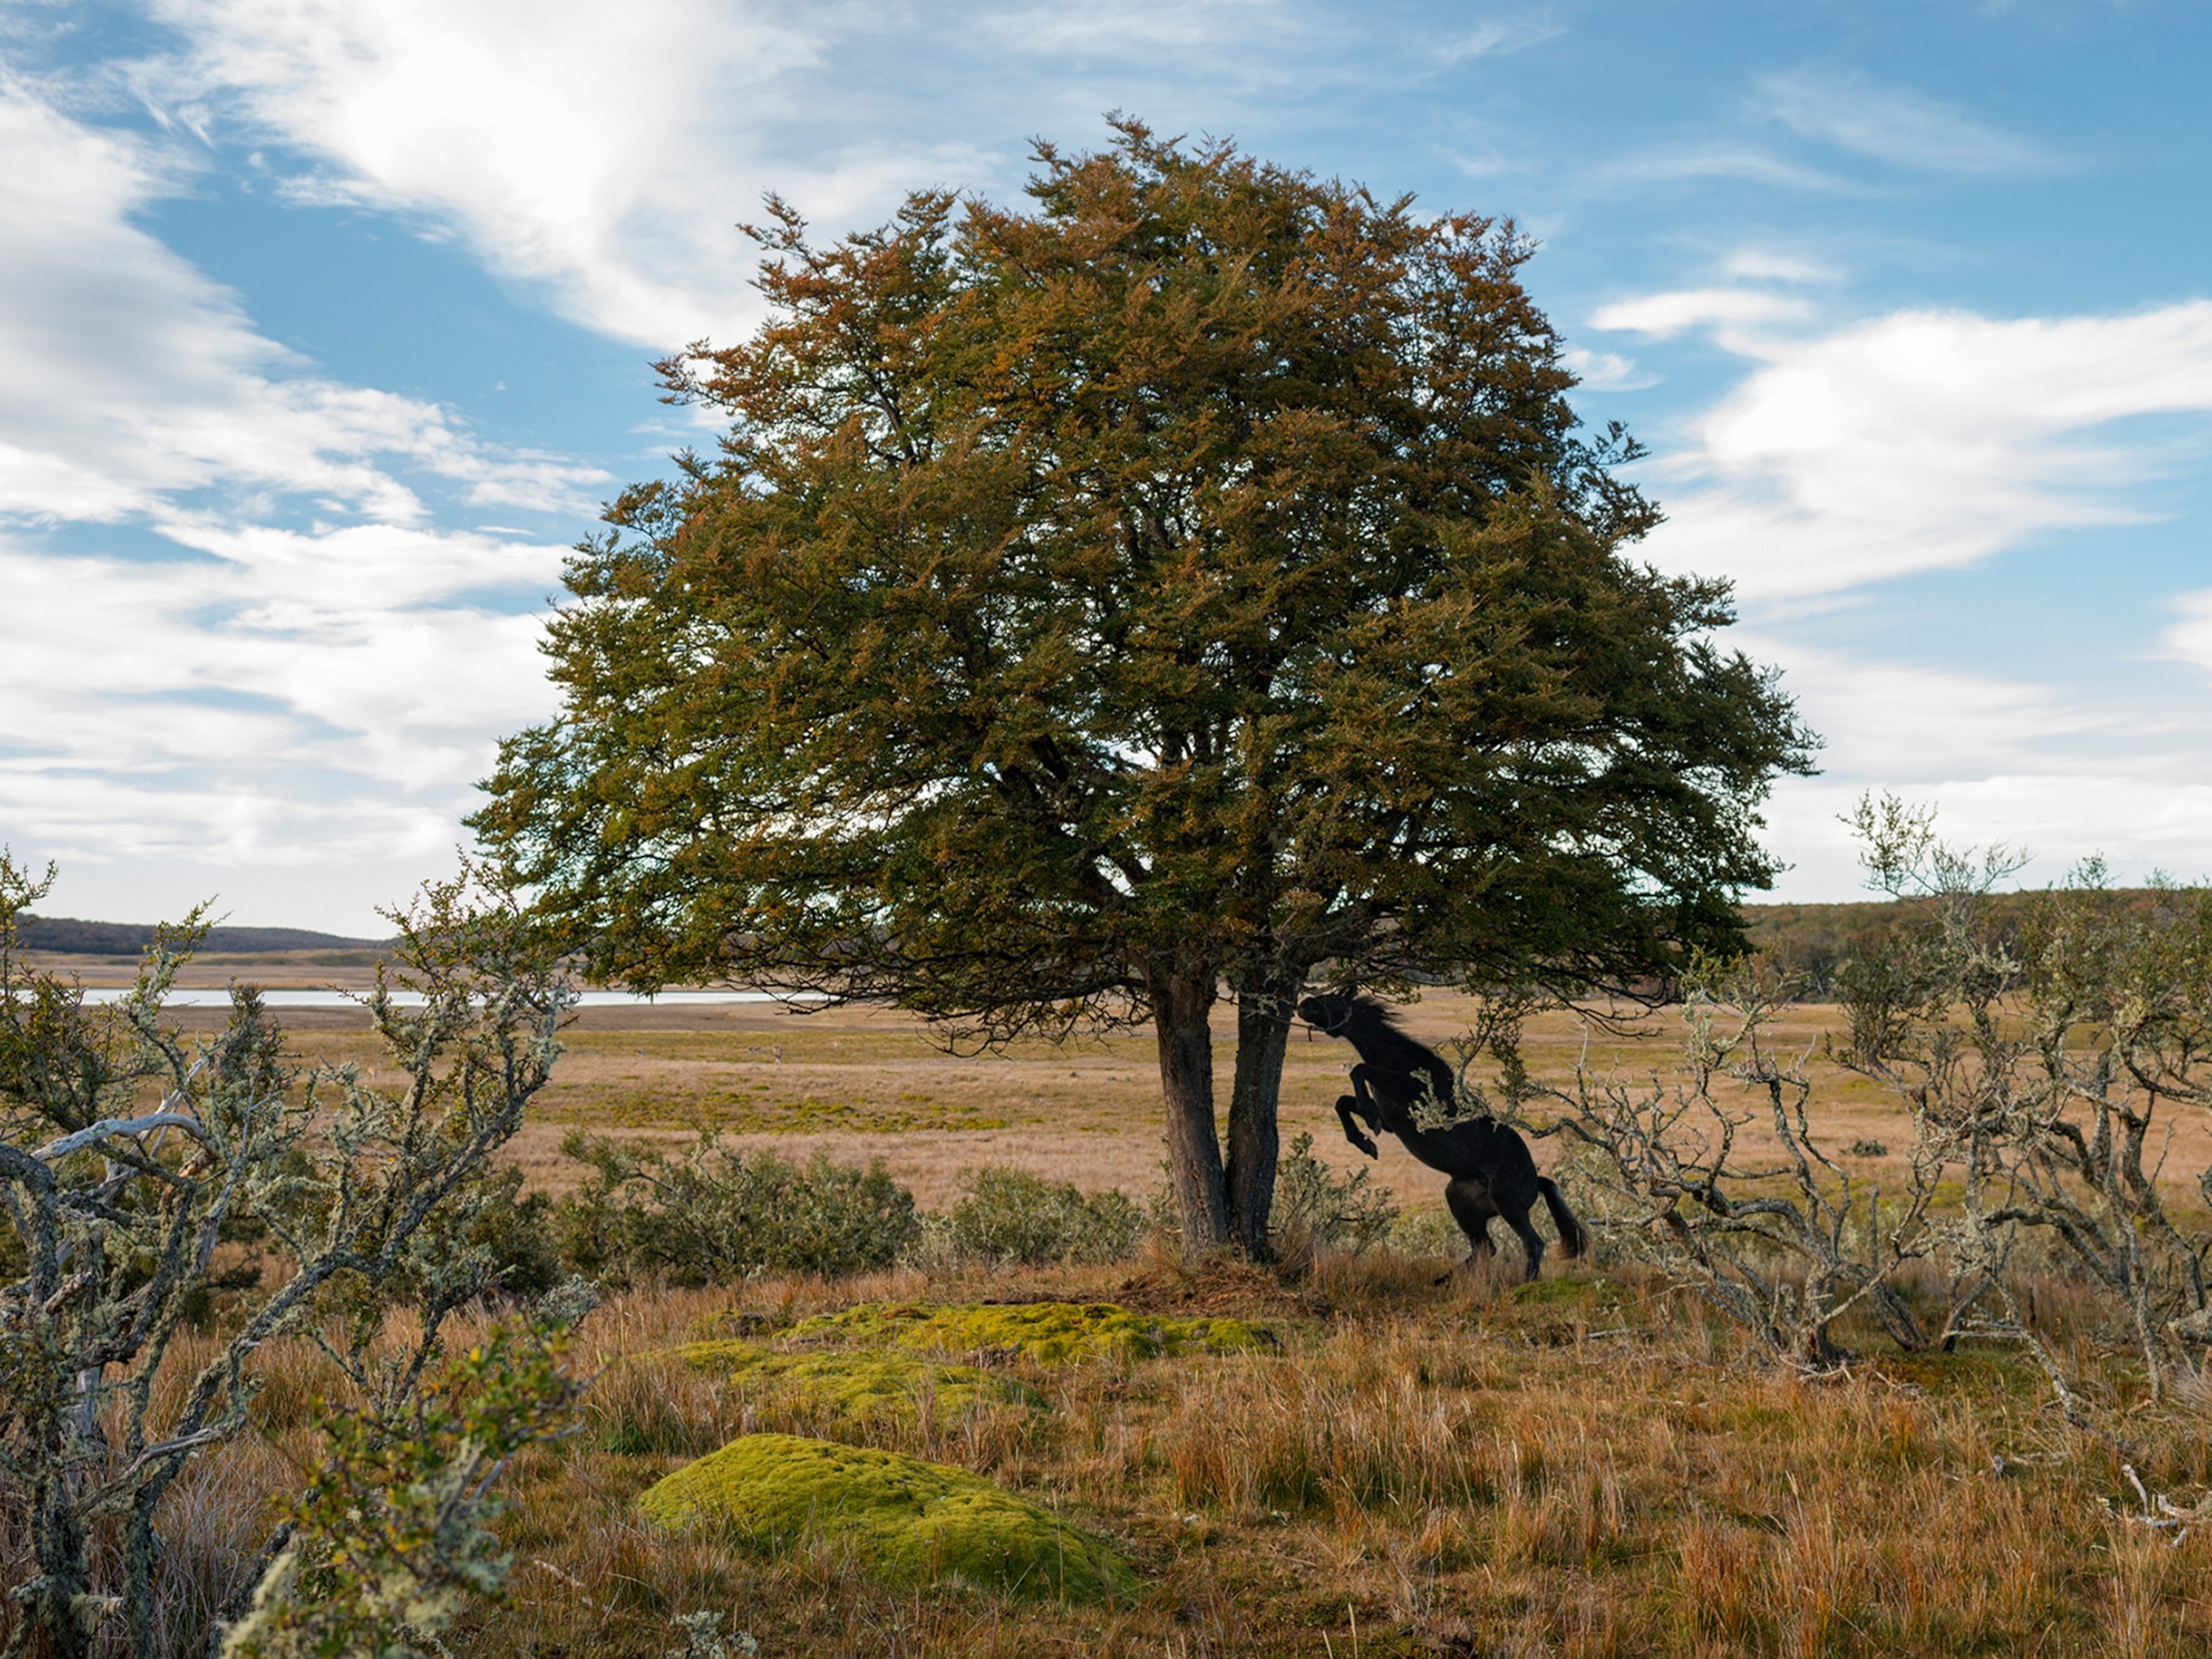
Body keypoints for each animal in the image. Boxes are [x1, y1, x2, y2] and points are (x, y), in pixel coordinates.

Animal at [1297, 992, 1586, 1282]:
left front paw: (1367, 1120)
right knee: (1485, 1248)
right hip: (1461, 1202)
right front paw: (1365, 1141)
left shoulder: (1404, 1092)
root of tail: (1536, 1180)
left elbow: (1358, 1070)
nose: (1304, 1004)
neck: (1396, 1056)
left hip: (1508, 1205)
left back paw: (1524, 1284)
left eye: (1331, 999)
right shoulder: (1391, 1118)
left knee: (1532, 1244)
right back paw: (1443, 1281)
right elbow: (1343, 1103)